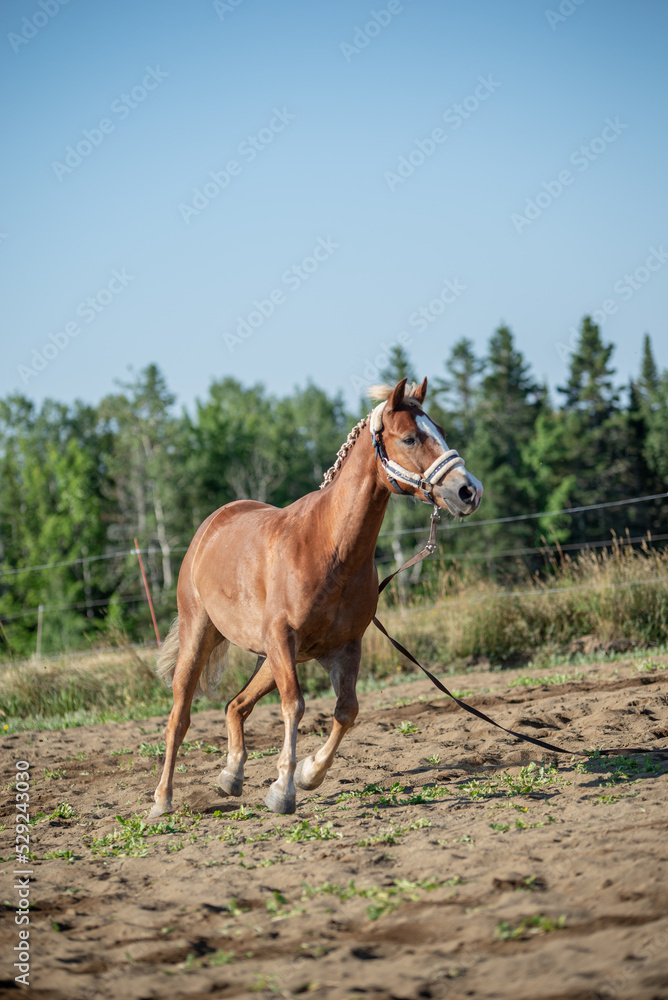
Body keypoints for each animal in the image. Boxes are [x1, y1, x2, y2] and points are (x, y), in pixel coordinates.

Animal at [150, 378, 486, 816]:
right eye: (410, 438)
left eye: (441, 431)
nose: (468, 490)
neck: (330, 548)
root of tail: (212, 525)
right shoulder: (283, 639)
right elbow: (295, 707)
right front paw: (283, 790)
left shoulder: (344, 646)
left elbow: (347, 710)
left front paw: (310, 773)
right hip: (202, 636)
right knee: (180, 717)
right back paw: (163, 799)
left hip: (273, 658)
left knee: (235, 705)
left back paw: (231, 776)